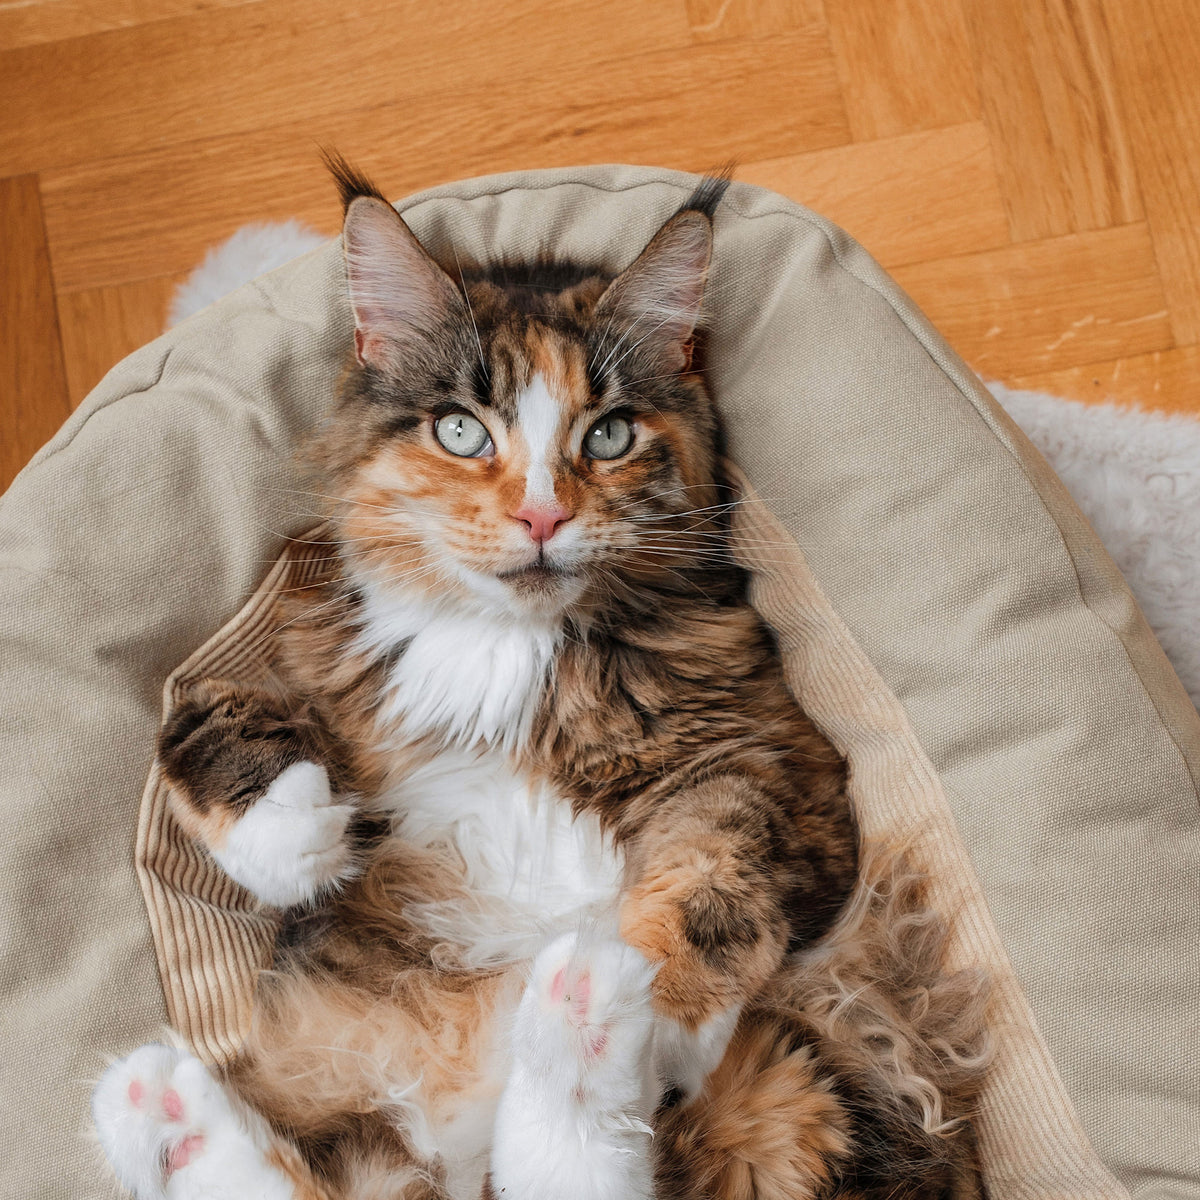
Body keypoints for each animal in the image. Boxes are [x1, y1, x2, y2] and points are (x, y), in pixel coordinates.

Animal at [87, 162, 984, 1200]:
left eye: (610, 436)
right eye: (461, 430)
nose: (543, 517)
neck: (505, 649)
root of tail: (456, 1153)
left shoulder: (769, 760)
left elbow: (717, 876)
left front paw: (662, 1007)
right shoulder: (287, 654)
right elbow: (201, 723)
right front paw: (293, 834)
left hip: (812, 1077)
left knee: (597, 1173)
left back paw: (586, 1015)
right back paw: (164, 1109)